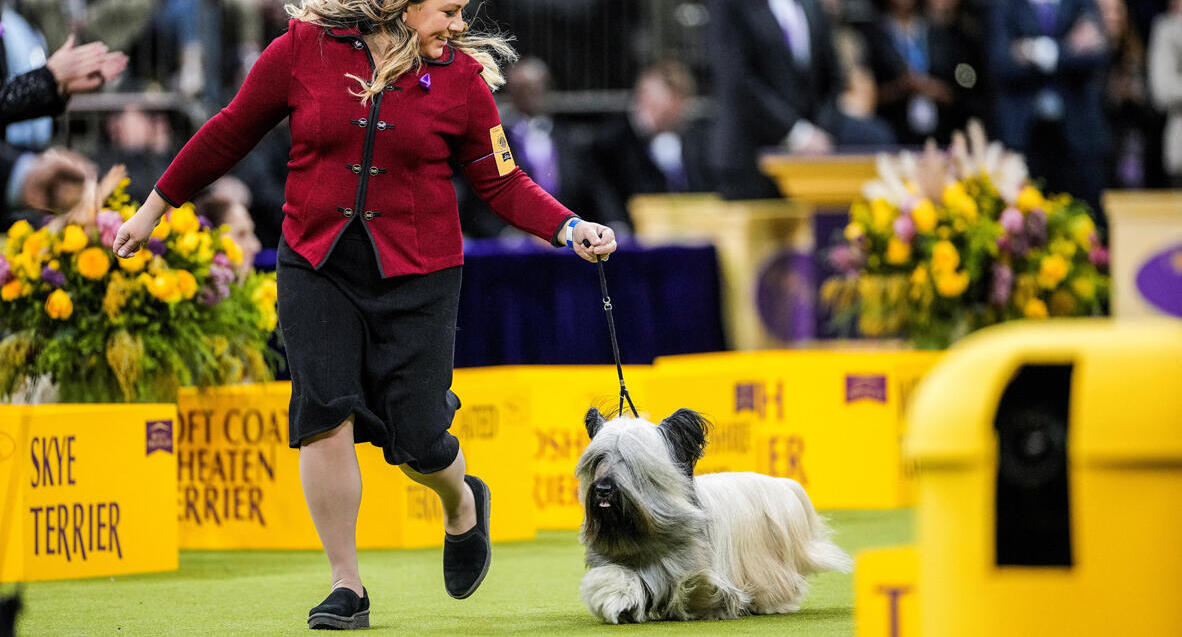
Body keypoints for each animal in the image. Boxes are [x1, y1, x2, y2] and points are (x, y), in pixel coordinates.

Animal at [572, 408, 851, 624]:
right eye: (598, 459)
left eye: (630, 461)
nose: (603, 489)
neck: (644, 532)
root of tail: (781, 485)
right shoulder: (614, 559)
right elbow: (614, 577)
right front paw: (618, 601)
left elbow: (696, 583)